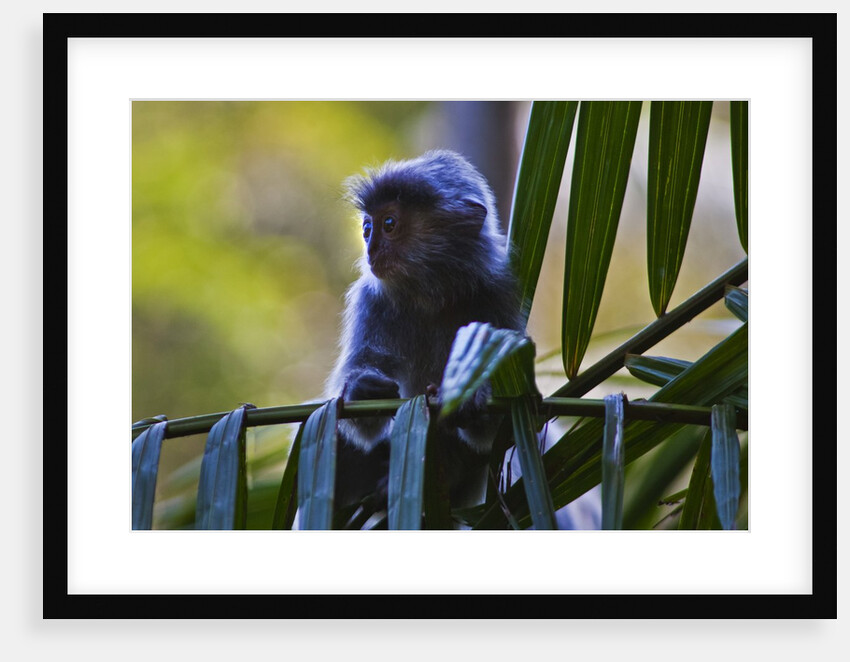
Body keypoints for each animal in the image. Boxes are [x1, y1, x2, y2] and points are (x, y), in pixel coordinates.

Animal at [326, 149, 524, 526]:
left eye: (389, 224)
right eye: (367, 229)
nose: (371, 249)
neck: (432, 294)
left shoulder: (499, 294)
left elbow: (498, 428)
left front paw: (474, 394)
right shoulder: (371, 300)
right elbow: (360, 413)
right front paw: (362, 389)